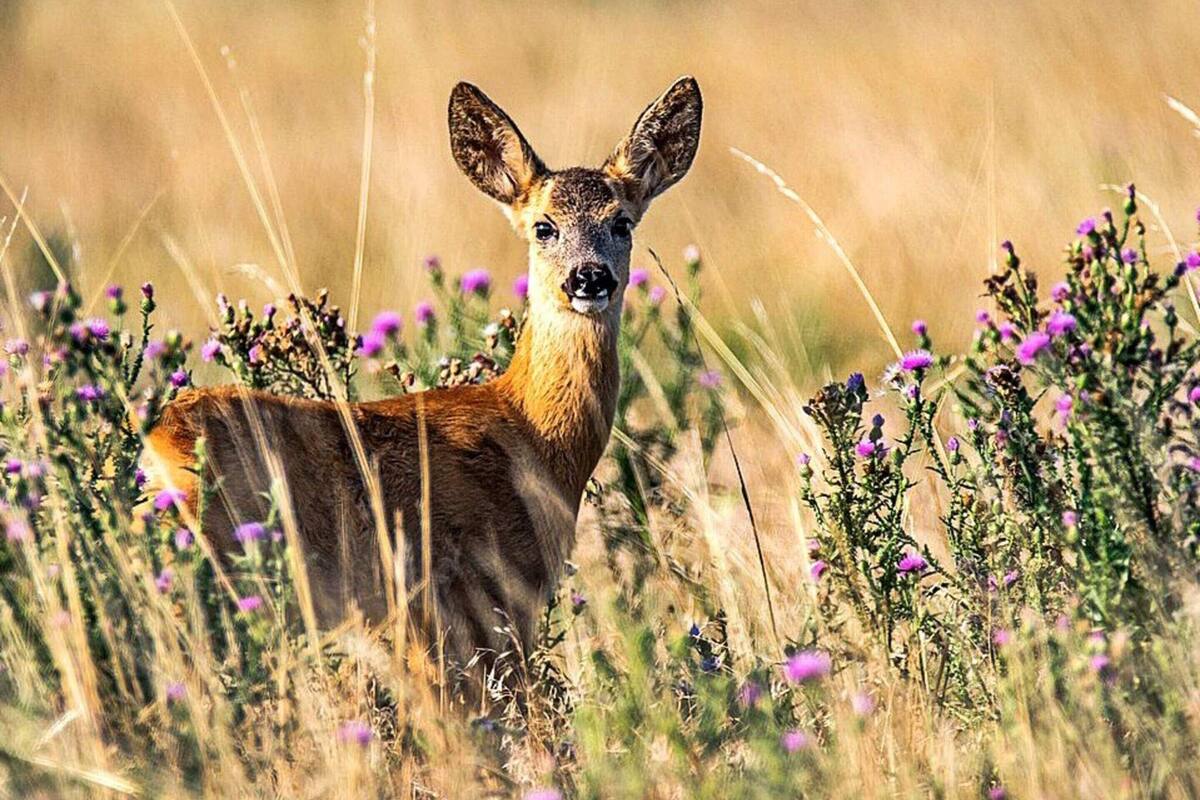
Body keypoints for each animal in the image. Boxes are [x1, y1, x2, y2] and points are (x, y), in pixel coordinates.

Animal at [142, 76, 702, 690]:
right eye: (544, 227)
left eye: (622, 222)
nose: (589, 277)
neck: (532, 435)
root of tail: (156, 442)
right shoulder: (474, 599)